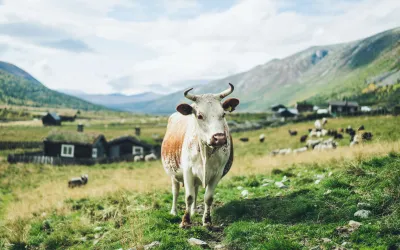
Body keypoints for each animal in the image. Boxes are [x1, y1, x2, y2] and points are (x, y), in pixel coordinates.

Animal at [160, 83, 241, 228]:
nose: (219, 138)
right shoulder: (187, 171)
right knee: (175, 191)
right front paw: (185, 221)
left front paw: (207, 221)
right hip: (173, 174)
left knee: (196, 190)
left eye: (223, 114)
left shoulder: (217, 173)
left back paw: (193, 211)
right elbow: (189, 196)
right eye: (200, 116)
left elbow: (208, 198)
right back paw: (174, 212)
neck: (205, 151)